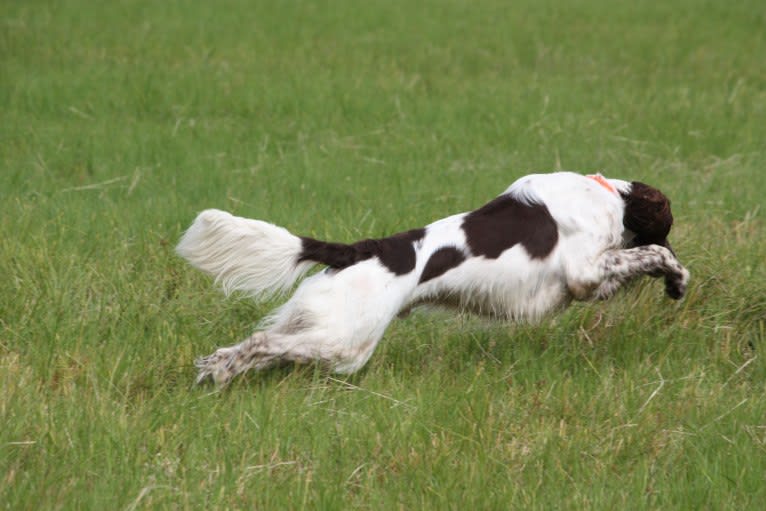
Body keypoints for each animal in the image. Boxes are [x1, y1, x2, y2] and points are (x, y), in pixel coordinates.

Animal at [178, 171, 688, 384]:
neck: (609, 193)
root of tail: (362, 249)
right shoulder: (584, 272)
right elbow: (655, 252)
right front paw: (677, 280)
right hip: (348, 342)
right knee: (262, 344)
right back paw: (221, 371)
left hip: (318, 321)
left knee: (257, 342)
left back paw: (216, 367)